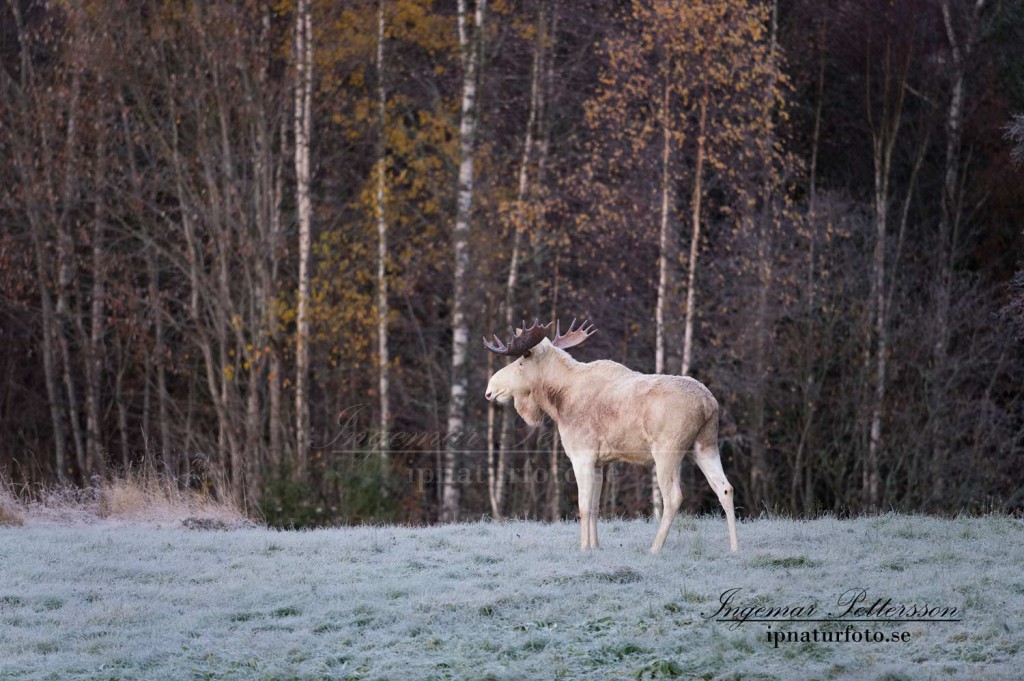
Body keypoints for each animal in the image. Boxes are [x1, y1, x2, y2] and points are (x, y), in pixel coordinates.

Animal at [481, 319, 737, 552]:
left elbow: (583, 506)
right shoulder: (599, 462)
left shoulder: (582, 455)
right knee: (725, 488)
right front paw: (595, 546)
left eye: (520, 361)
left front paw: (584, 548)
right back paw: (735, 548)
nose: (489, 390)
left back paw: (654, 548)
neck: (558, 402)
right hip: (705, 445)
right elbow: (595, 507)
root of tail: (709, 404)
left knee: (674, 497)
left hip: (667, 451)